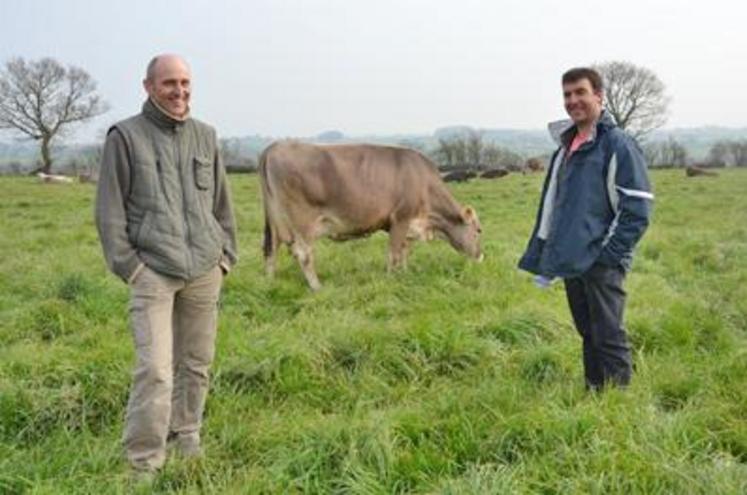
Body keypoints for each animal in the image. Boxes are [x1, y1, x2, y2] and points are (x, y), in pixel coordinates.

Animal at [262, 140, 486, 290]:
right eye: (478, 230)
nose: (481, 256)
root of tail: (277, 145)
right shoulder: (400, 218)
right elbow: (394, 253)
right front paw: (391, 279)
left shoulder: (406, 225)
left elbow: (404, 251)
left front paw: (405, 274)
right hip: (302, 222)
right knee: (304, 254)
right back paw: (317, 287)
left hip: (275, 220)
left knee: (271, 249)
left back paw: (270, 283)